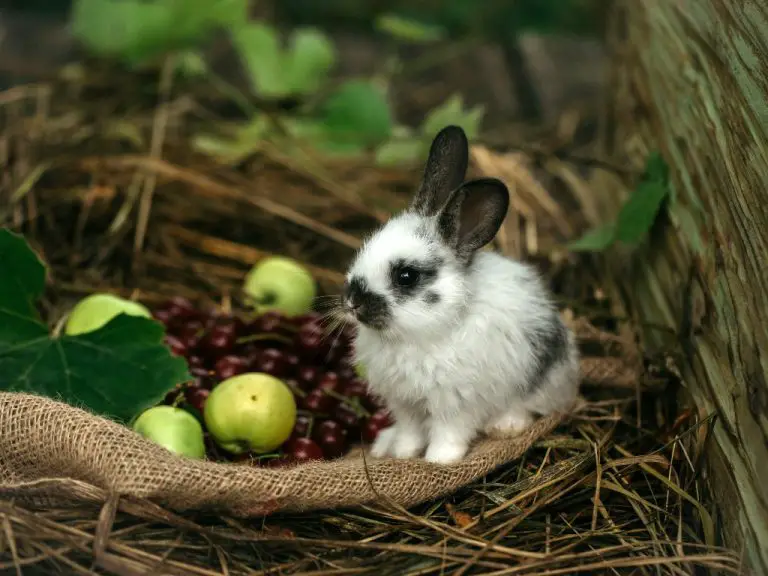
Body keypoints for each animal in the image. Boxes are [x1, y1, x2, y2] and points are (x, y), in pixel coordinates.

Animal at [340, 125, 581, 465]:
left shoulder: (455, 402)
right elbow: (409, 430)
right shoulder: (405, 403)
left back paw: (505, 426)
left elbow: (448, 432)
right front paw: (403, 454)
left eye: (406, 276)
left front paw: (438, 460)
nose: (352, 301)